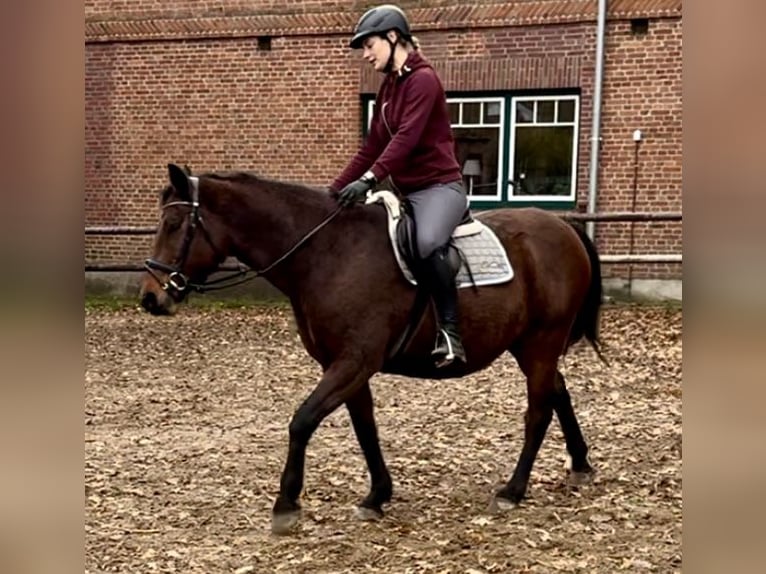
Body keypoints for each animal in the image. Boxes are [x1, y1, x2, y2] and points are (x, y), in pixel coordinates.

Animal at [138, 162, 608, 536]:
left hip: (541, 342)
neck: (328, 251)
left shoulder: (354, 362)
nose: (151, 298)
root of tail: (564, 226)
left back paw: (513, 490)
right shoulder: (344, 365)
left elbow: (302, 421)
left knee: (539, 411)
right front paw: (377, 495)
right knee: (558, 392)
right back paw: (581, 465)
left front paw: (286, 504)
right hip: (528, 345)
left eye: (175, 226)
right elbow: (365, 428)